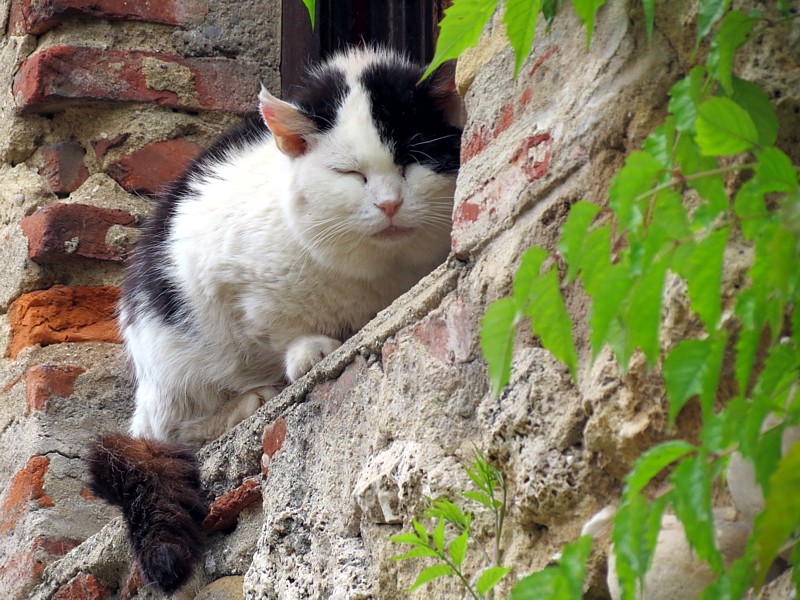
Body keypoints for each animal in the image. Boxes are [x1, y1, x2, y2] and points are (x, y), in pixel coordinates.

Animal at [86, 47, 462, 596]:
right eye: (350, 174)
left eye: (412, 159)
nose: (389, 203)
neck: (375, 272)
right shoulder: (225, 274)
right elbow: (279, 325)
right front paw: (309, 351)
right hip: (168, 353)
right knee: (169, 431)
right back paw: (249, 402)